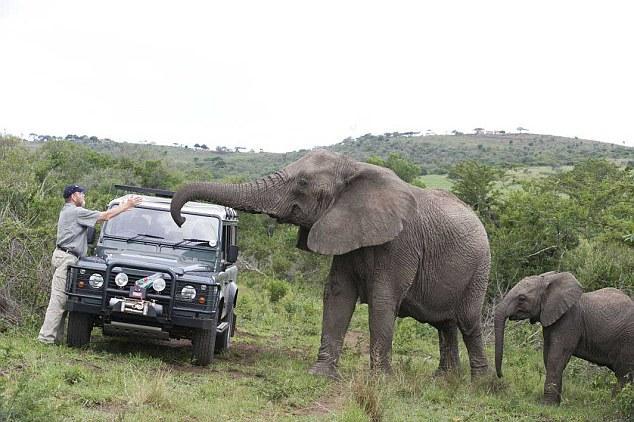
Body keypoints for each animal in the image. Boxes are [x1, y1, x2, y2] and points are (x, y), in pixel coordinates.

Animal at [170, 149, 492, 380]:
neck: (355, 168)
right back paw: (445, 380)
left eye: (302, 183)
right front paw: (321, 374)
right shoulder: (345, 229)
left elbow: (382, 301)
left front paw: (379, 382)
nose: (181, 219)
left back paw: (479, 384)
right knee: (444, 324)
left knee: (467, 322)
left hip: (480, 268)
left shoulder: (401, 244)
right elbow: (338, 294)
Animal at [494, 272, 632, 404]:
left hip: (628, 340)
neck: (549, 281)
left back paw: (614, 404)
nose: (501, 376)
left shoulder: (569, 320)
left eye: (522, 298)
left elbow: (556, 357)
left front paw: (547, 405)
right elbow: (548, 356)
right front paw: (556, 403)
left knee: (623, 374)